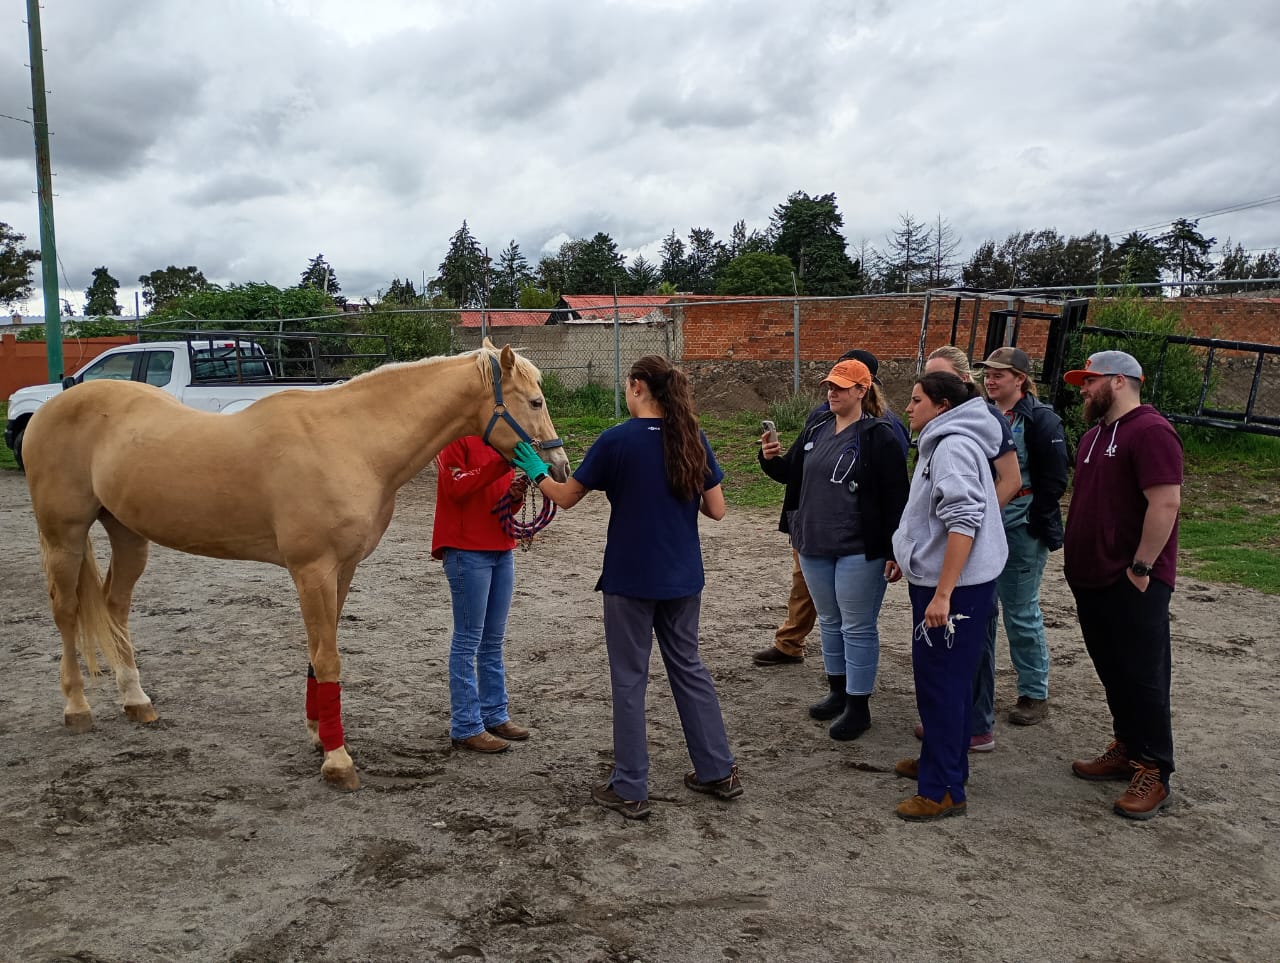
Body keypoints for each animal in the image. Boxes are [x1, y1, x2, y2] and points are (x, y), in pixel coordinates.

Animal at [22, 340, 570, 791]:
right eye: (535, 402)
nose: (560, 467)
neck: (351, 441)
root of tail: (52, 406)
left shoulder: (341, 570)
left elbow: (318, 651)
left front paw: (318, 734)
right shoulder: (312, 571)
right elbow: (327, 658)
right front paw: (338, 761)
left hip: (128, 535)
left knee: (114, 606)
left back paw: (136, 701)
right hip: (64, 536)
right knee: (67, 613)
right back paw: (77, 707)